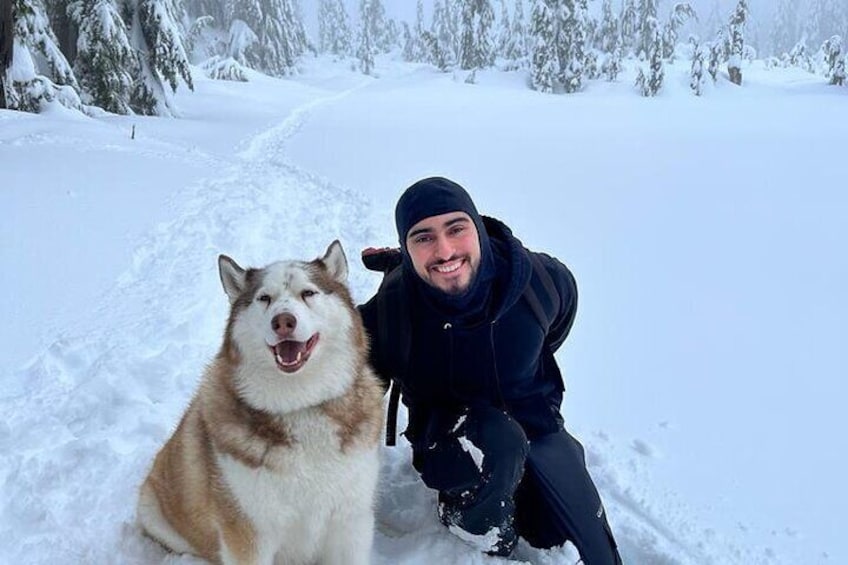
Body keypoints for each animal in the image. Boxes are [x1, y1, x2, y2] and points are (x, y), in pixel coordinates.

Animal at [137, 242, 382, 564]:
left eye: (308, 293)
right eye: (264, 298)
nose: (283, 321)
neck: (300, 406)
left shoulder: (350, 521)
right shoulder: (247, 535)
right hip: (157, 513)